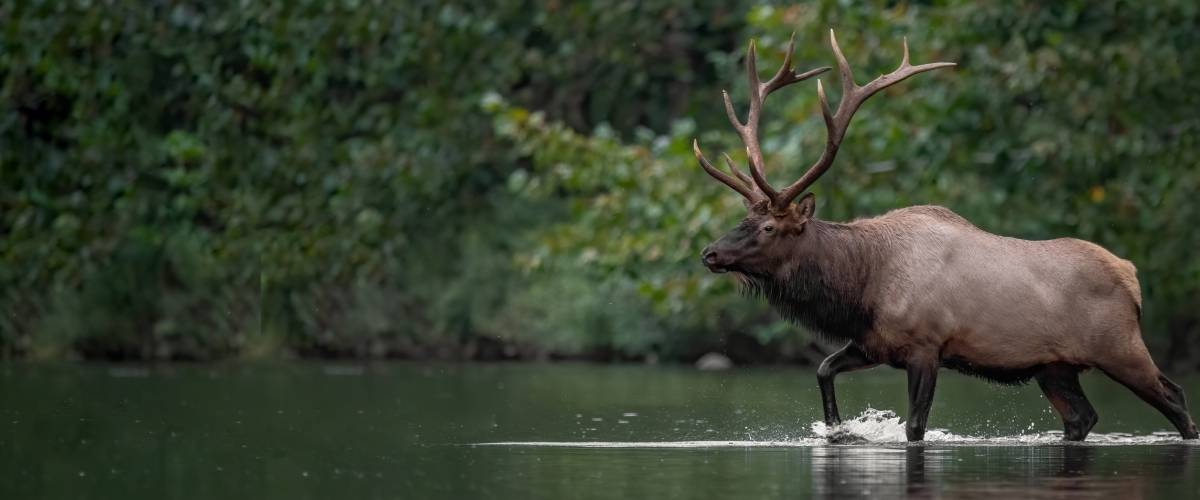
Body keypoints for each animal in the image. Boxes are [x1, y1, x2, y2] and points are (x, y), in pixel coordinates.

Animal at [693, 30, 1198, 442]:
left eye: (768, 227)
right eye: (742, 220)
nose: (710, 253)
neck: (861, 285)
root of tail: (1132, 276)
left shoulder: (926, 345)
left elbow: (915, 425)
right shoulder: (875, 342)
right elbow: (822, 370)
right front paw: (838, 430)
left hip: (1119, 346)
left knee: (1175, 399)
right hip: (1055, 367)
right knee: (1081, 418)